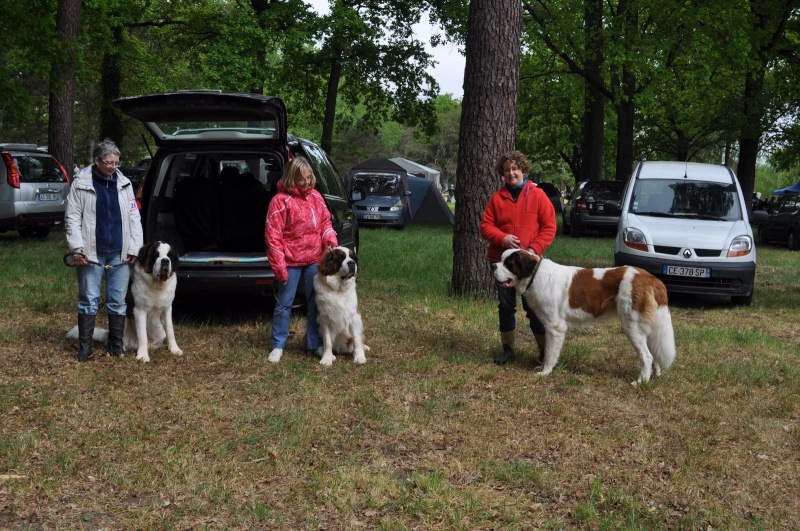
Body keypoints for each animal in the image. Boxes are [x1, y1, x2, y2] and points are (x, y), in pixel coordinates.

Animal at [494, 250, 676, 386]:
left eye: (508, 264)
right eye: (501, 260)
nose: (493, 265)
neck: (536, 275)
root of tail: (651, 278)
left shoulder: (555, 328)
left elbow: (550, 353)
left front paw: (545, 372)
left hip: (632, 325)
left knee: (647, 355)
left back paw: (640, 382)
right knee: (652, 351)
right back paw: (655, 375)